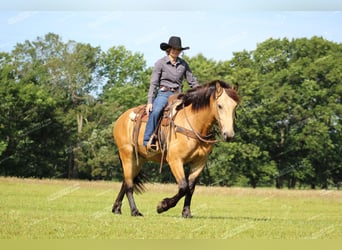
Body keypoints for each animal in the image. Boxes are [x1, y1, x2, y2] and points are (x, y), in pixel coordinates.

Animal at [111, 79, 239, 217]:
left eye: (235, 106)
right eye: (220, 106)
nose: (229, 135)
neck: (193, 124)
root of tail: (121, 119)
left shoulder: (199, 162)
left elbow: (190, 188)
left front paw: (186, 212)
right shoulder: (175, 160)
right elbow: (183, 187)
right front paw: (162, 206)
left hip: (139, 159)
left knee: (126, 181)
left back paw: (117, 208)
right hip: (127, 154)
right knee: (129, 184)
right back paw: (135, 211)